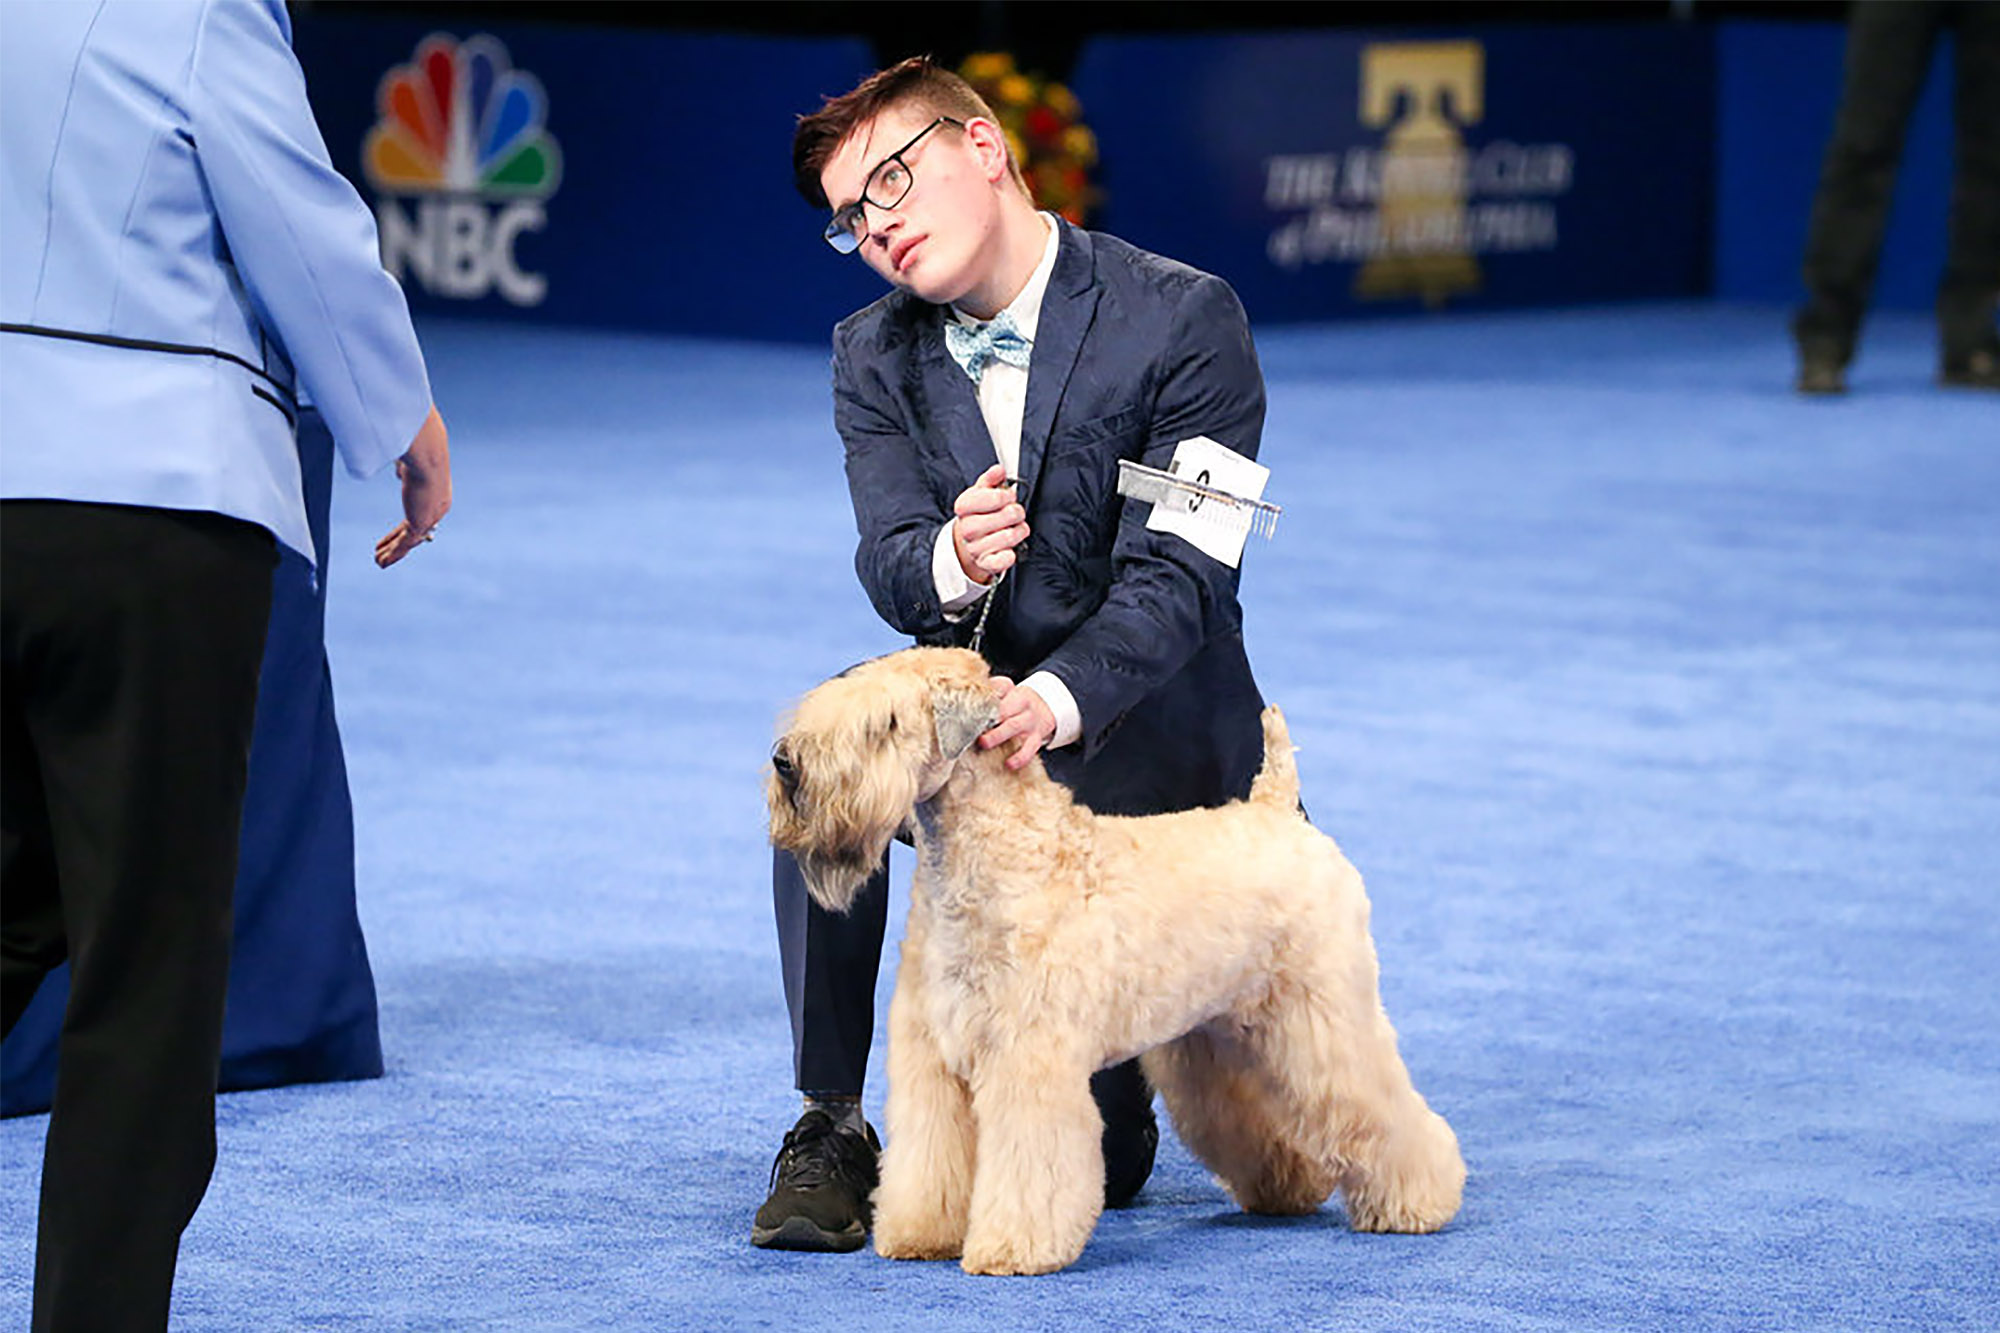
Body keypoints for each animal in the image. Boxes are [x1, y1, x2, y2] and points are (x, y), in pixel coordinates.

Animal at [768, 648, 1472, 1272]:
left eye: (885, 723)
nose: (785, 763)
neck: (995, 856)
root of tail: (1279, 813)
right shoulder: (933, 1059)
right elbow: (927, 1159)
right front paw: (919, 1233)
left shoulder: (1027, 1061)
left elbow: (1030, 1162)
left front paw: (1013, 1248)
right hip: (1219, 1037)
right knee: (1256, 1119)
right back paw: (1286, 1189)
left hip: (1322, 1019)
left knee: (1380, 1107)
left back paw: (1419, 1200)